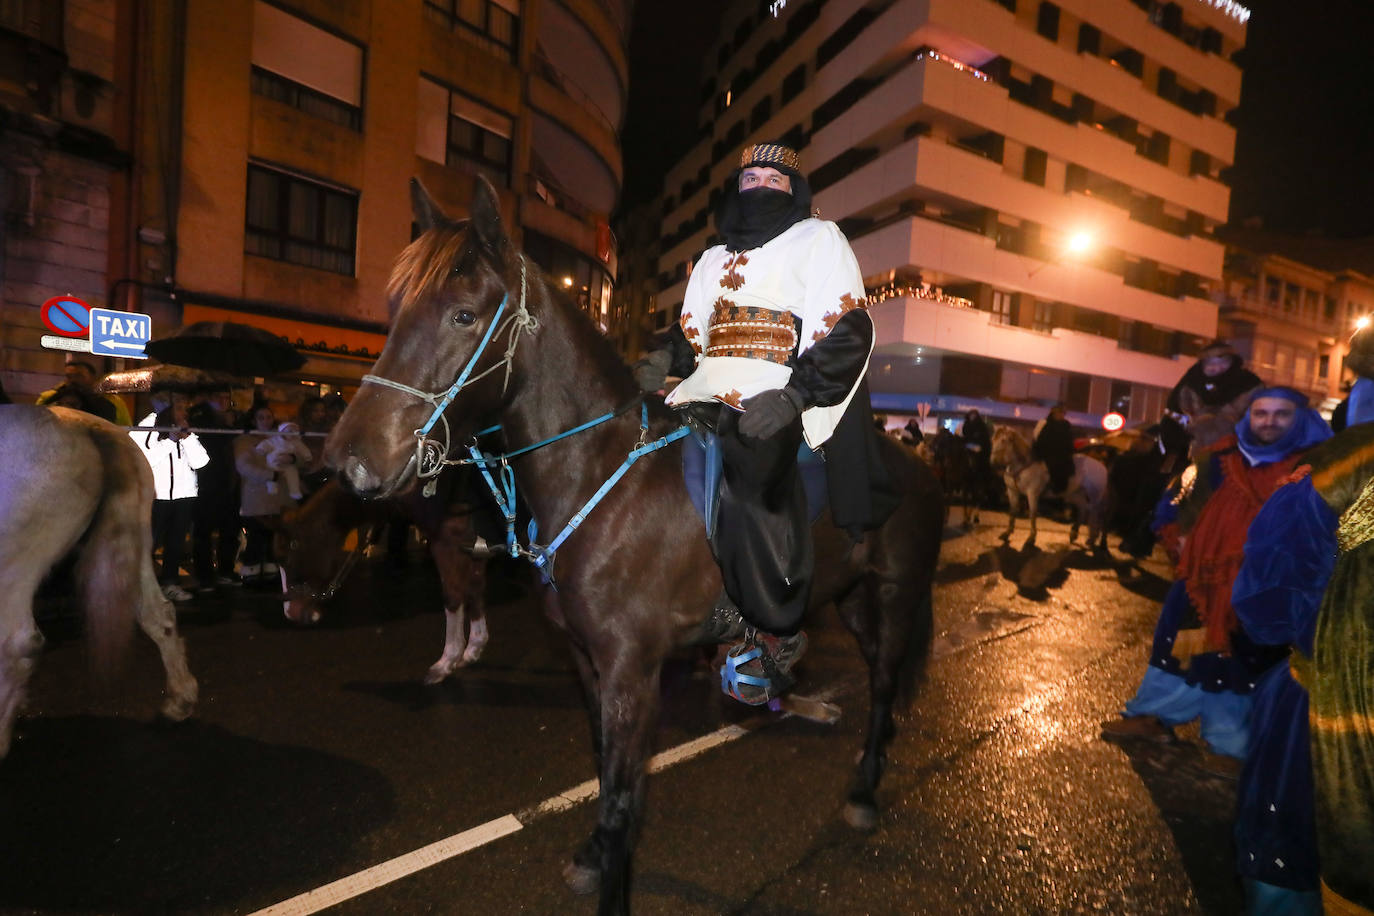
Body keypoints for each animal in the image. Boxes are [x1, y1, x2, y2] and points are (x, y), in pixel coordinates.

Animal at [0, 409, 199, 758]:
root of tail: (89, 428)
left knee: (17, 645)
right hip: (137, 541)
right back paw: (179, 703)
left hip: (14, 564)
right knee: (159, 615)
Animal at [272, 477, 489, 683]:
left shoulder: (447, 545)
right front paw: (474, 647)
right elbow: (474, 589)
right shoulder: (473, 549)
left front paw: (447, 661)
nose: (290, 613)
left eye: (285, 558)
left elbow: (453, 596)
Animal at [321, 178, 945, 916]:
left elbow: (623, 797)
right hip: (847, 595)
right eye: (395, 309)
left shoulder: (632, 670)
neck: (598, 475)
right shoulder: (586, 659)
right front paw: (594, 854)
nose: (349, 462)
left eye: (464, 315)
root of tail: (916, 462)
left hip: (897, 592)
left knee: (884, 681)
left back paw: (864, 790)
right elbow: (602, 766)